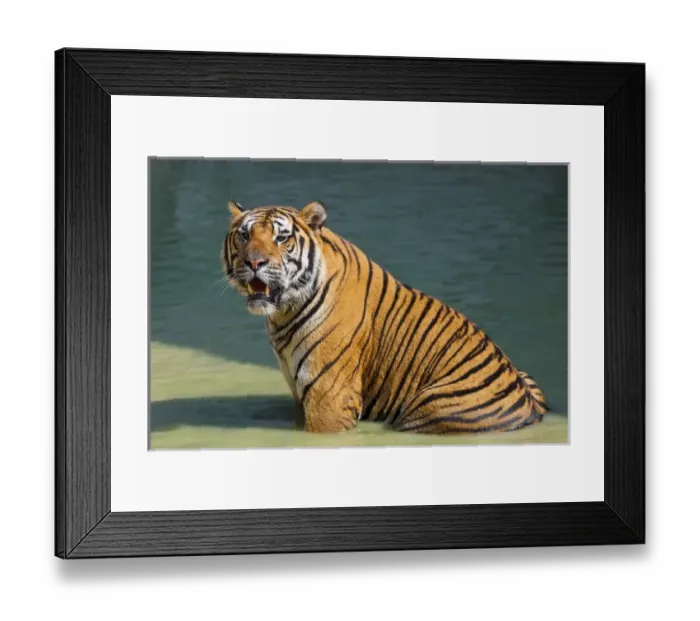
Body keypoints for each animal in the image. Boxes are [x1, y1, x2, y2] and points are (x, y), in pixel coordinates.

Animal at [221, 199, 549, 434]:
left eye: (281, 238)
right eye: (244, 235)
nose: (254, 262)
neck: (282, 314)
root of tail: (530, 409)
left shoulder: (329, 397)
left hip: (431, 408)